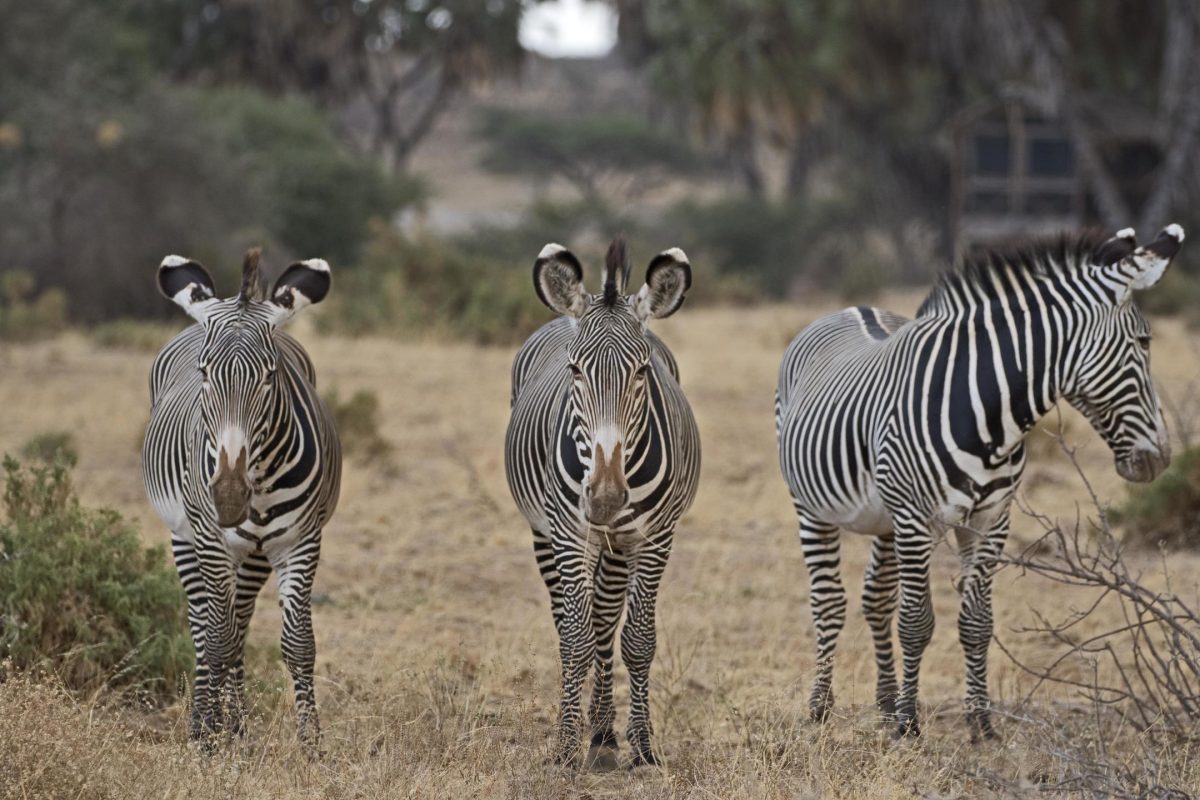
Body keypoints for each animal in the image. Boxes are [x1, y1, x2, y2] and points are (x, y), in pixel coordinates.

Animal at [142, 248, 341, 751]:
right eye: (204, 373)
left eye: (270, 376)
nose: (229, 498)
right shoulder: (211, 541)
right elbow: (215, 640)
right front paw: (211, 742)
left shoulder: (301, 541)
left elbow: (298, 644)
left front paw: (311, 745)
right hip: (185, 537)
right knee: (203, 623)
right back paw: (206, 723)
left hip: (254, 554)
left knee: (240, 622)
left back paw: (238, 723)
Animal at [505, 237, 701, 768]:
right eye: (575, 370)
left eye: (642, 371)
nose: (608, 497)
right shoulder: (569, 532)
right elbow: (575, 638)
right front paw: (563, 747)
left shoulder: (655, 537)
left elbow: (636, 638)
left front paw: (642, 745)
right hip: (545, 533)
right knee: (572, 622)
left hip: (617, 544)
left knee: (606, 620)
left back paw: (604, 732)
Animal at [775, 224, 1184, 740]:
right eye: (1145, 342)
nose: (1161, 459)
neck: (989, 416)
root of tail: (852, 307)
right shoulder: (916, 519)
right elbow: (916, 621)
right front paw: (909, 726)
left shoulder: (991, 519)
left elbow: (976, 622)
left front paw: (980, 723)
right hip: (811, 506)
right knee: (829, 601)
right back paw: (821, 707)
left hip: (886, 518)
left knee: (876, 600)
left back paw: (884, 703)